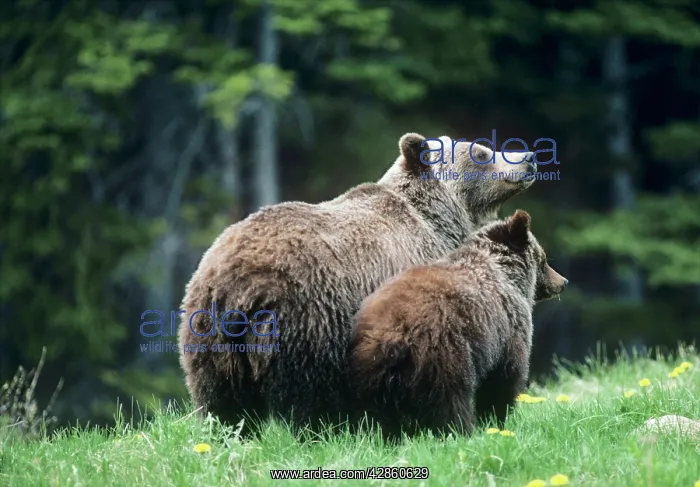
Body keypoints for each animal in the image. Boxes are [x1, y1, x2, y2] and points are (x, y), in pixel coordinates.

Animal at [178, 133, 538, 433]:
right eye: (480, 152)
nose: (529, 157)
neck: (439, 220)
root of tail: (238, 283)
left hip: (208, 337)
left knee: (220, 403)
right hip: (309, 320)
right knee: (309, 394)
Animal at [348, 209, 568, 439]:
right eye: (544, 259)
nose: (563, 281)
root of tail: (394, 334)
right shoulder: (509, 331)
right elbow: (503, 379)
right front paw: (497, 419)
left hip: (370, 369)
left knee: (373, 412)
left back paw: (378, 435)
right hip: (444, 354)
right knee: (450, 400)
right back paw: (460, 431)